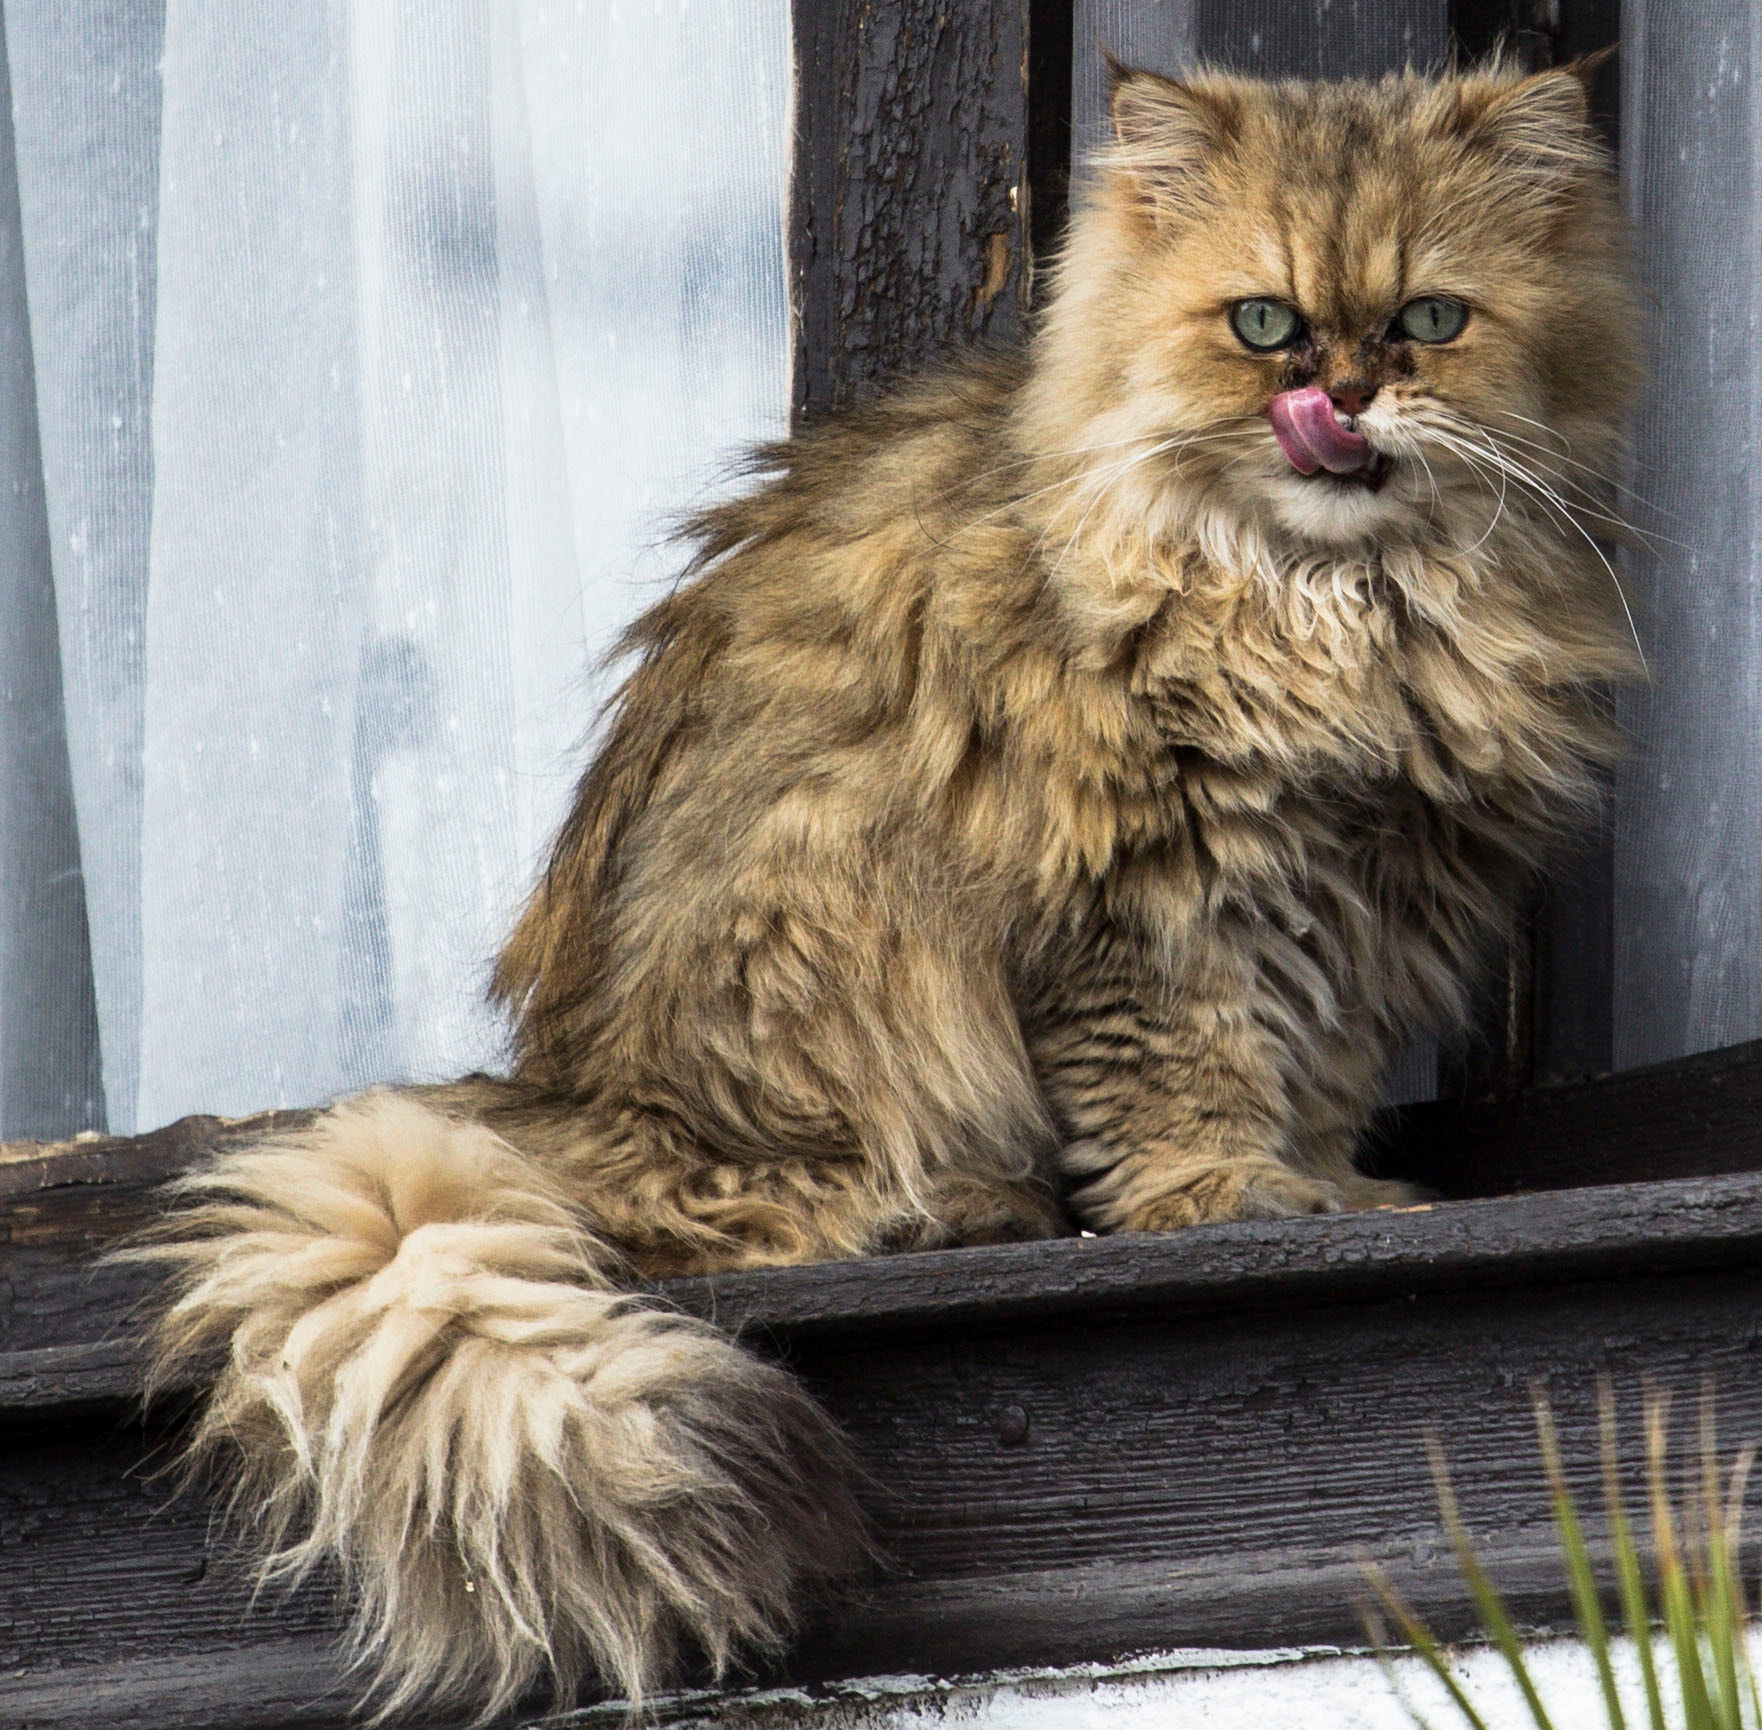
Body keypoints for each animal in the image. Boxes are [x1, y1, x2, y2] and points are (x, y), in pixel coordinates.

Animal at [137, 57, 1635, 1730]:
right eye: (1261, 322)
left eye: (1429, 318)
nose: (1344, 392)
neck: (1335, 613)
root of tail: (561, 1096)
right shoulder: (1143, 898)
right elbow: (1188, 1079)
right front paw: (1223, 1199)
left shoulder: (1363, 898)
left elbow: (1311, 1071)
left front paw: (1333, 1193)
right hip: (827, 934)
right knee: (747, 1218)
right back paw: (952, 1209)